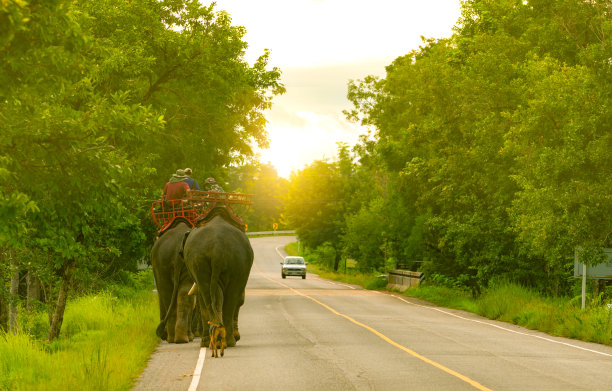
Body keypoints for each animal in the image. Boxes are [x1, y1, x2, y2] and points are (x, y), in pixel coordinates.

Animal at [183, 214, 255, 352]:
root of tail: (216, 249)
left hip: (202, 262)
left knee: (210, 296)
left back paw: (214, 340)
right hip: (229, 263)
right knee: (227, 298)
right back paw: (224, 340)